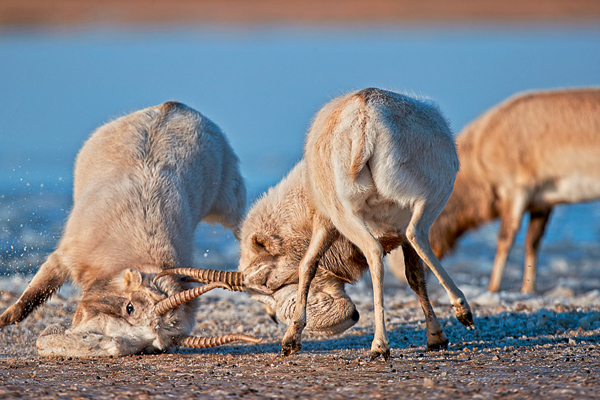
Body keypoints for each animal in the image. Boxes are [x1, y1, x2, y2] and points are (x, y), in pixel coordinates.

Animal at [1, 101, 262, 356]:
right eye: (130, 308)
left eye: (150, 347)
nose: (101, 343)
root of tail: (178, 107)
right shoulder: (64, 257)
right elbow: (34, 294)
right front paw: (5, 319)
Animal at [234, 88, 474, 362]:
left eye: (263, 280)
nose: (273, 317)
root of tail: (364, 121)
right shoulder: (338, 223)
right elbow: (414, 277)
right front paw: (436, 336)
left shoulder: (325, 221)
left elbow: (308, 265)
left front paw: (291, 339)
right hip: (420, 200)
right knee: (409, 237)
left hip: (350, 211)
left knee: (390, 245)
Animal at [386, 87, 600, 294]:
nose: (400, 276)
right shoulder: (542, 202)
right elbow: (532, 243)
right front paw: (528, 289)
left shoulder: (515, 190)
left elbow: (505, 239)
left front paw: (493, 288)